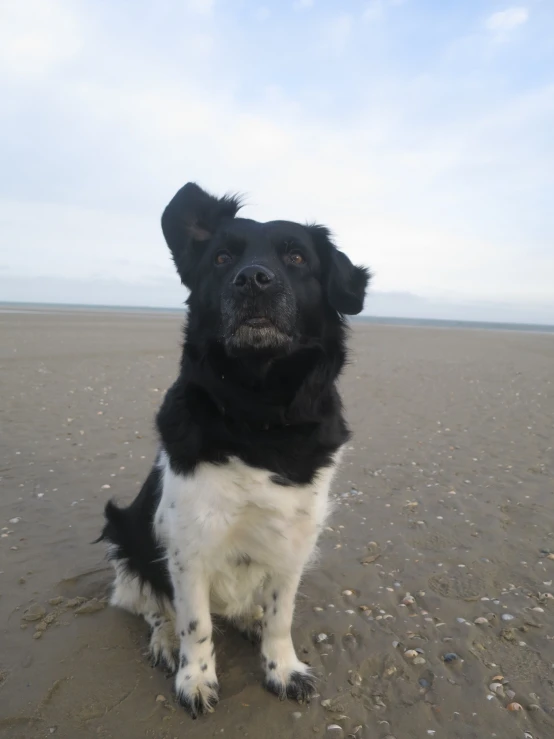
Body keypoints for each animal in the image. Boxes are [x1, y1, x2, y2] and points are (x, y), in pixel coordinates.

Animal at [97, 182, 368, 720]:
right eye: (222, 257)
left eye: (296, 257)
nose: (254, 280)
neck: (257, 413)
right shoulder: (187, 546)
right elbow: (196, 625)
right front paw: (195, 680)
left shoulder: (294, 540)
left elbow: (282, 616)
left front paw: (282, 667)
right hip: (125, 537)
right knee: (152, 607)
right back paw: (165, 641)